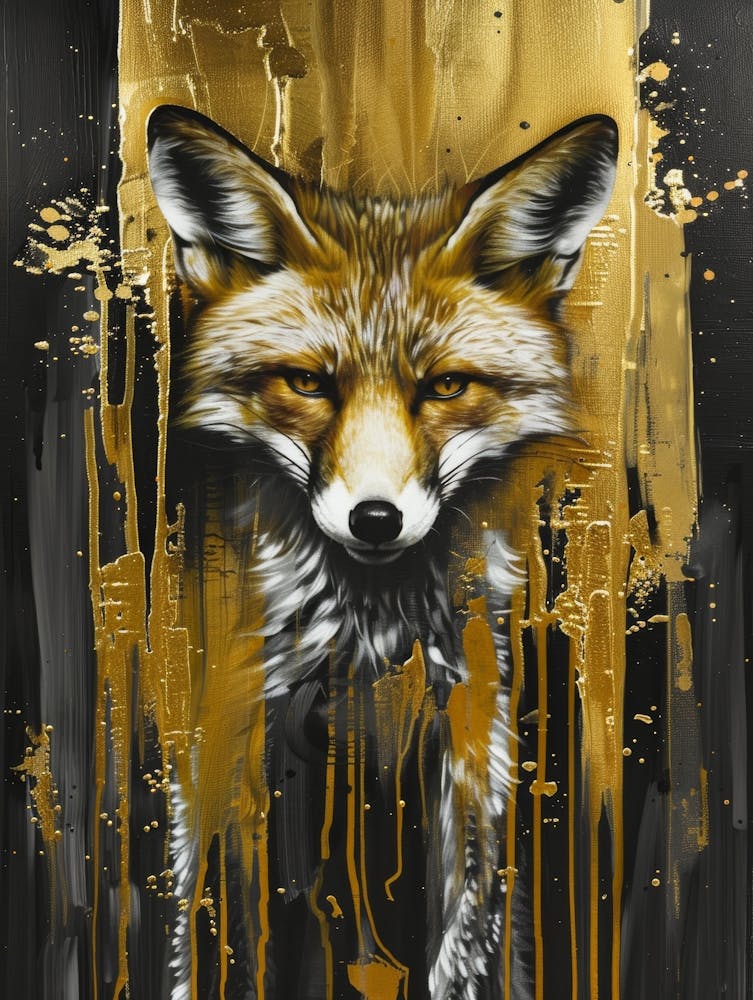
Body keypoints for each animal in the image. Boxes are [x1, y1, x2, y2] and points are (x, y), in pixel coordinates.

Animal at [147, 104, 617, 1000]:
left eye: (444, 386)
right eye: (307, 383)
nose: (374, 519)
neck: (369, 640)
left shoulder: (469, 737)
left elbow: (464, 941)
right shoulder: (232, 742)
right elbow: (219, 935)